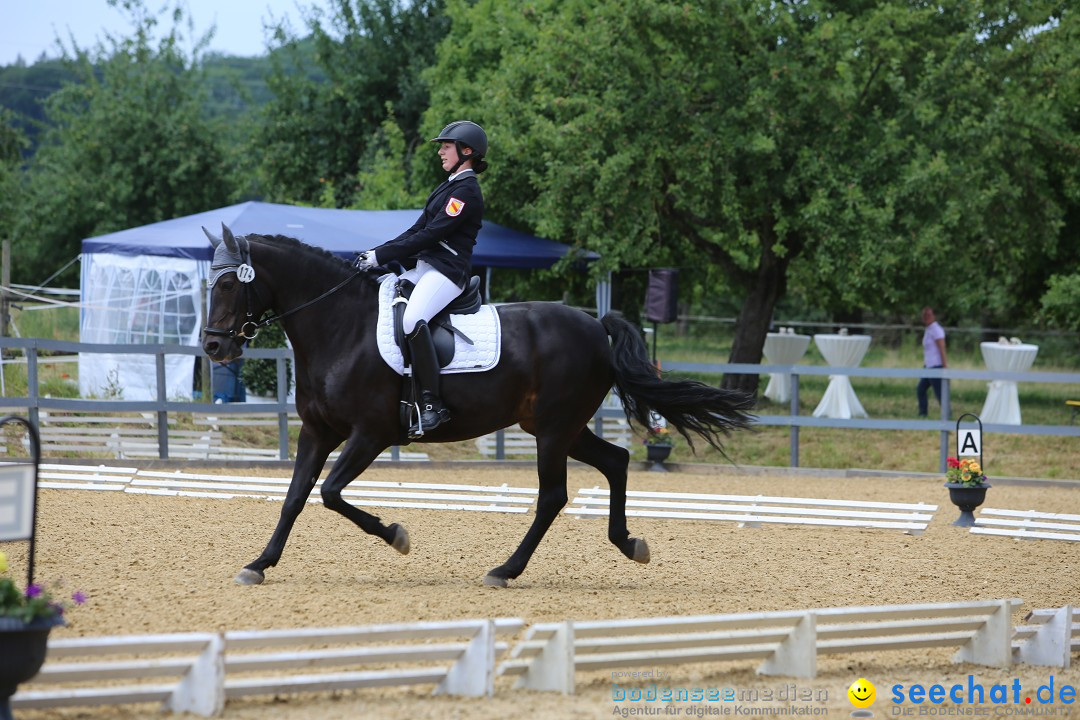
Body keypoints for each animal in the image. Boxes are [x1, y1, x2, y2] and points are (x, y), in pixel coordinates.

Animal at [200, 227, 751, 587]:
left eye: (228, 283)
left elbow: (331, 493)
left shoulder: (371, 434)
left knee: (553, 496)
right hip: (561, 426)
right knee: (616, 461)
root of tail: (595, 323)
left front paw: (396, 535)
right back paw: (629, 543)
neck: (341, 326)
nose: (213, 347)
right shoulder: (317, 431)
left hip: (553, 430)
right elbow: (295, 497)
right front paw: (259, 564)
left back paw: (506, 570)